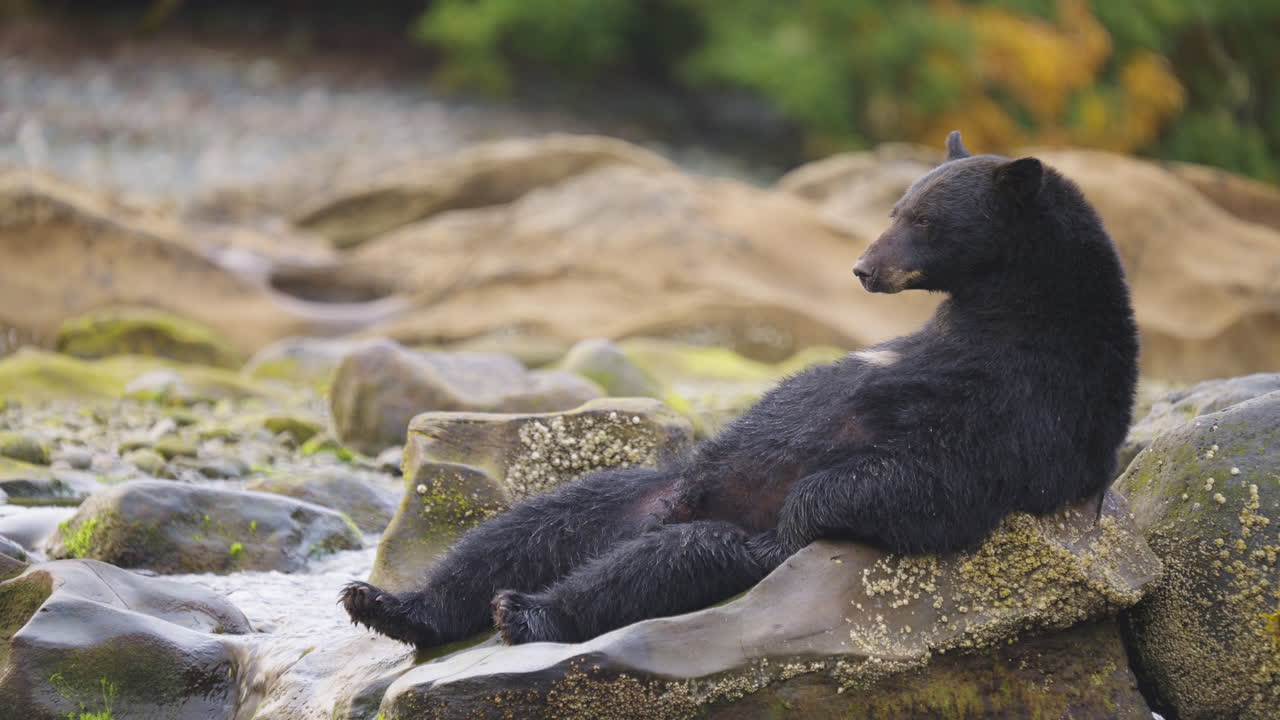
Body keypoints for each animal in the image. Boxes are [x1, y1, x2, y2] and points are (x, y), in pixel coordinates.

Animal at [341, 131, 1139, 649]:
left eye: (923, 219)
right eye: (895, 210)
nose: (862, 268)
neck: (1011, 309)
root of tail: (676, 509)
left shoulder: (1038, 400)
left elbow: (941, 477)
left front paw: (811, 505)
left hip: (709, 534)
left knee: (664, 564)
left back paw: (529, 613)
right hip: (643, 489)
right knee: (528, 525)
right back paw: (390, 603)